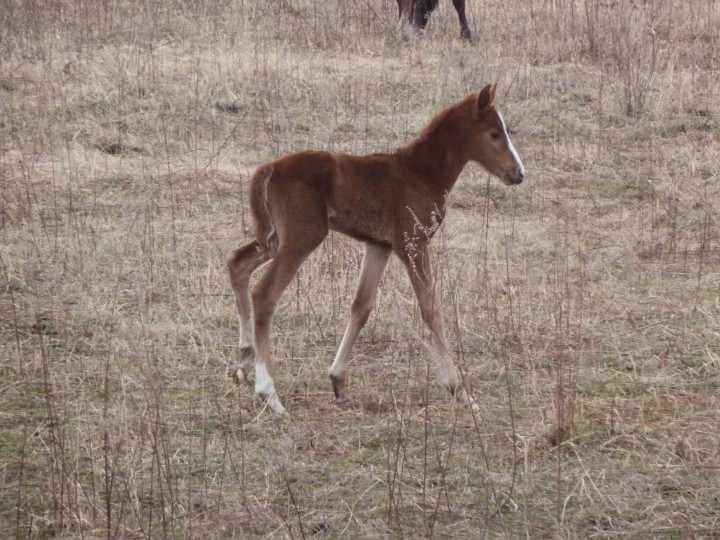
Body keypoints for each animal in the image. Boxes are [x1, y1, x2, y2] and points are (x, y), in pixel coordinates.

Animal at [229, 84, 524, 414]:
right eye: (495, 133)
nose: (518, 173)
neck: (421, 173)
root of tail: (268, 169)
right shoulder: (413, 243)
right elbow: (431, 308)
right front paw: (459, 391)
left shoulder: (379, 245)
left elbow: (362, 306)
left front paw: (338, 380)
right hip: (302, 236)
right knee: (265, 293)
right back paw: (269, 393)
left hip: (272, 238)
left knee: (237, 263)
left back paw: (245, 357)